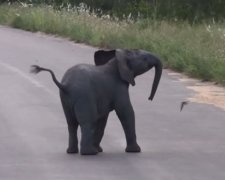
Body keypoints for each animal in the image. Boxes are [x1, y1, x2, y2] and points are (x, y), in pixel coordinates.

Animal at [31, 48, 162, 155]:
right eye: (145, 59)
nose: (149, 98)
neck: (117, 59)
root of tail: (66, 85)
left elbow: (103, 119)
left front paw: (100, 149)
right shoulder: (118, 88)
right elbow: (126, 112)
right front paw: (135, 151)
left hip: (66, 100)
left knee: (71, 123)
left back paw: (73, 152)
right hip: (84, 97)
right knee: (89, 121)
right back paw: (89, 153)